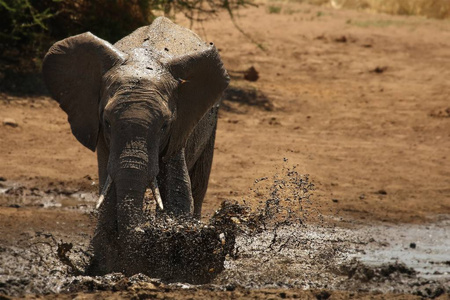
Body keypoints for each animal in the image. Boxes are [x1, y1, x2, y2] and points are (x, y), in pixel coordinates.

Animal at [42, 15, 229, 274]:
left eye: (165, 125)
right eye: (107, 122)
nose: (143, 230)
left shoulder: (179, 127)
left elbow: (179, 189)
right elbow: (110, 188)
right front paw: (106, 265)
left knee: (199, 186)